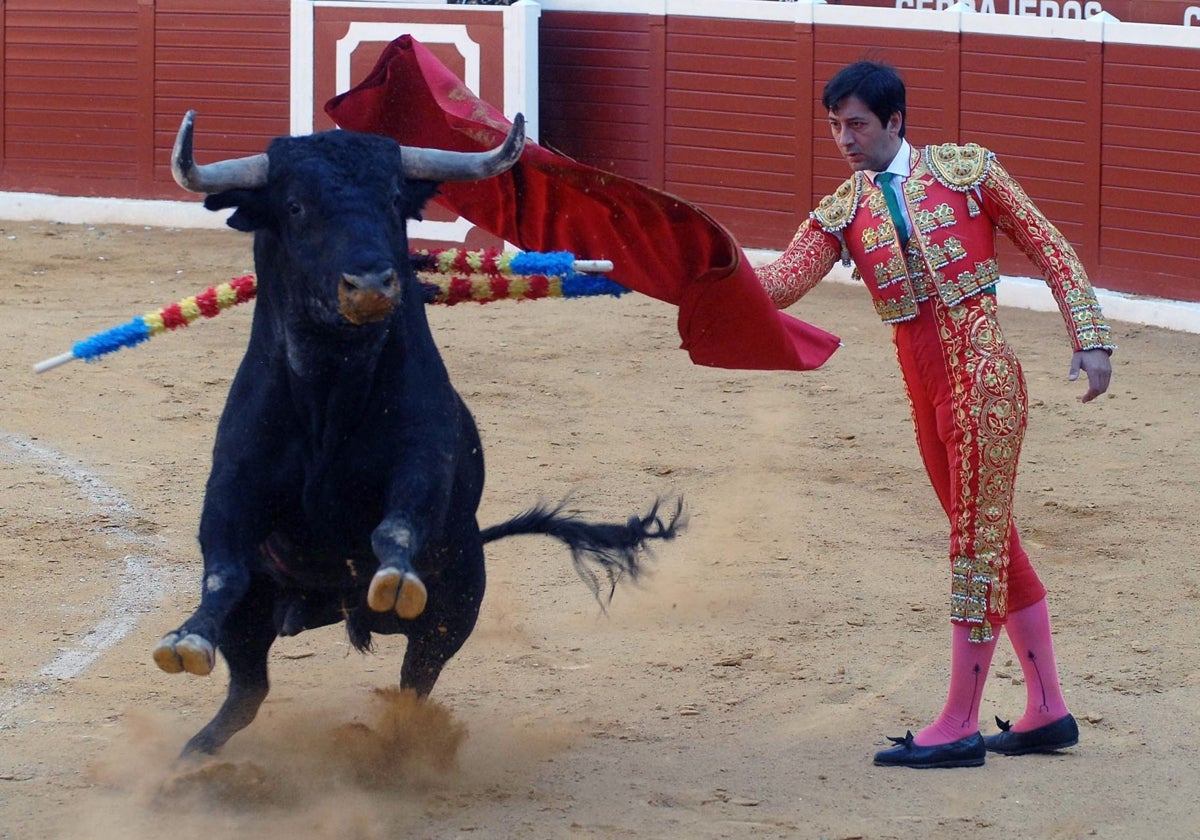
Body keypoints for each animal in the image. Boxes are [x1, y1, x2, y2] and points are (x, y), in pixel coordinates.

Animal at [152, 108, 686, 758]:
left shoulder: (422, 463)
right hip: (260, 617)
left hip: (455, 608)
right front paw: (187, 638)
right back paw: (192, 760)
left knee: (412, 684)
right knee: (248, 690)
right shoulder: (233, 483)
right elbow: (223, 568)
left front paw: (396, 578)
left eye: (392, 200)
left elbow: (398, 523)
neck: (331, 384)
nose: (370, 283)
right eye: (296, 206)